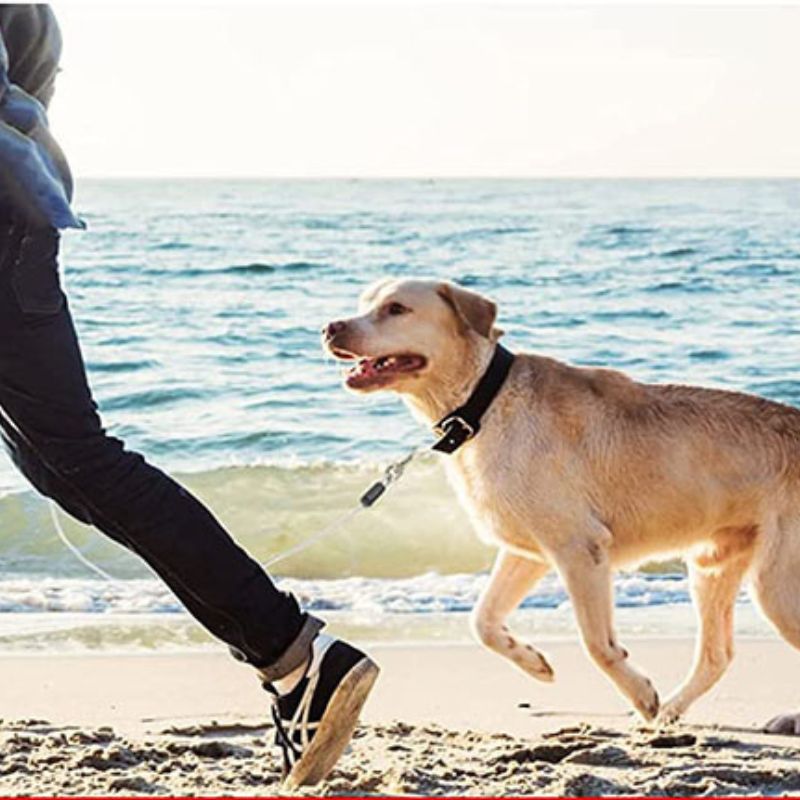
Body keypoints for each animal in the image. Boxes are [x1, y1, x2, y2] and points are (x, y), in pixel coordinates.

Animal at [322, 276, 800, 732]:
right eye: (365, 303)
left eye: (396, 308)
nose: (330, 327)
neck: (483, 403)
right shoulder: (527, 552)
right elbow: (483, 621)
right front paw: (533, 662)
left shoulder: (579, 549)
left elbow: (598, 645)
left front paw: (640, 693)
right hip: (712, 565)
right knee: (716, 657)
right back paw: (671, 714)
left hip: (776, 587)